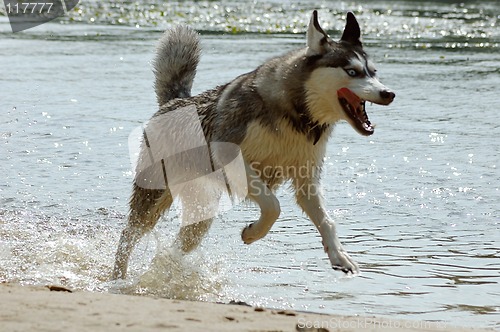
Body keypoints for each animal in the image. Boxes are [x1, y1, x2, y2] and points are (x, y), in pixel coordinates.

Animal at [112, 10, 394, 278]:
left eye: (374, 72)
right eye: (352, 72)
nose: (388, 93)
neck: (296, 114)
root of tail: (175, 102)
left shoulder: (306, 179)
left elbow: (326, 221)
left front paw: (339, 255)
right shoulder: (231, 159)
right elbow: (273, 206)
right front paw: (253, 232)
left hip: (201, 214)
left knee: (179, 244)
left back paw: (164, 265)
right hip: (152, 199)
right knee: (127, 236)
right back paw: (118, 277)